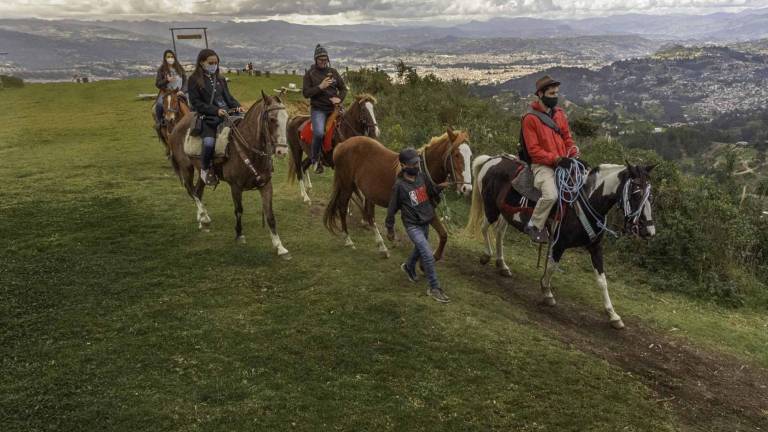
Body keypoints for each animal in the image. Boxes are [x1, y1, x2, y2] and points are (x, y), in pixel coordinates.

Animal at [166, 90, 292, 260]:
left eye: (286, 118)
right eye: (272, 119)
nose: (282, 151)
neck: (248, 148)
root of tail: (178, 125)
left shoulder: (266, 185)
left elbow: (270, 215)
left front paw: (280, 247)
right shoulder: (236, 186)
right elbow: (238, 210)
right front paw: (239, 235)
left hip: (201, 172)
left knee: (198, 190)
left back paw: (201, 220)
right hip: (186, 168)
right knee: (192, 191)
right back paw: (204, 217)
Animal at [320, 128, 472, 260]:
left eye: (470, 156)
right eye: (456, 155)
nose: (467, 188)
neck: (421, 174)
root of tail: (341, 145)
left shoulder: (428, 211)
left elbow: (443, 235)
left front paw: (433, 256)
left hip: (367, 193)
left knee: (369, 215)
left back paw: (382, 247)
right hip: (347, 185)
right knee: (342, 208)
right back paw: (349, 240)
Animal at [464, 157, 656, 330]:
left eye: (650, 196)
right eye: (636, 193)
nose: (649, 231)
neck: (587, 200)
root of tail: (492, 159)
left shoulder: (595, 248)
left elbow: (602, 281)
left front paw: (613, 315)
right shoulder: (559, 245)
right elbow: (551, 267)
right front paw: (547, 292)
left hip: (505, 214)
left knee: (499, 232)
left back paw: (502, 265)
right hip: (491, 209)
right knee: (484, 227)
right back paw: (486, 256)